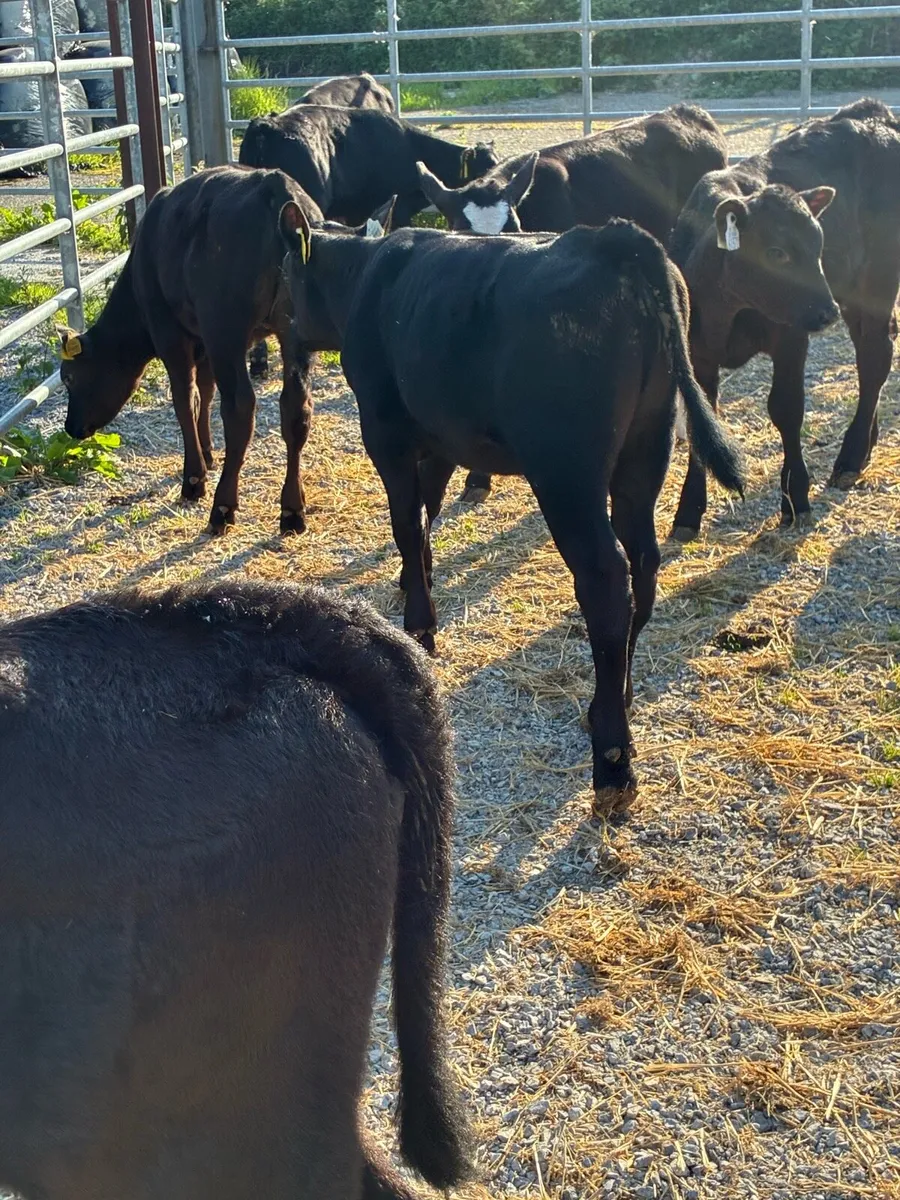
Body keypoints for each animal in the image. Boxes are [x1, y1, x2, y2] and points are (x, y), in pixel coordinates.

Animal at [60, 164, 392, 536]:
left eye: (69, 377)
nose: (71, 427)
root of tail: (275, 187)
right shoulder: (206, 340)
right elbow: (205, 392)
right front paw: (207, 452)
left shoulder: (172, 332)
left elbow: (186, 398)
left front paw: (195, 475)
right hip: (293, 333)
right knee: (296, 408)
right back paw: (292, 510)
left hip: (226, 327)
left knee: (240, 407)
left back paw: (222, 506)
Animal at [280, 208, 745, 814]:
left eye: (286, 271)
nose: (284, 332)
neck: (366, 274)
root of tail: (615, 240)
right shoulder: (442, 438)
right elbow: (425, 518)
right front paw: (415, 581)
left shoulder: (386, 432)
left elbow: (406, 521)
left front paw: (419, 627)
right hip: (647, 449)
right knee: (643, 562)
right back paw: (619, 695)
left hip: (566, 472)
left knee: (605, 579)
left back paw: (613, 760)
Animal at [668, 99, 900, 538]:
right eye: (776, 252)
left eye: (818, 245)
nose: (826, 312)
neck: (730, 305)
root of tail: (872, 112)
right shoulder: (698, 351)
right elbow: (702, 421)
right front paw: (688, 511)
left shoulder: (792, 338)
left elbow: (786, 409)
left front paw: (796, 499)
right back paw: (865, 446)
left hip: (877, 282)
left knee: (874, 359)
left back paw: (849, 457)